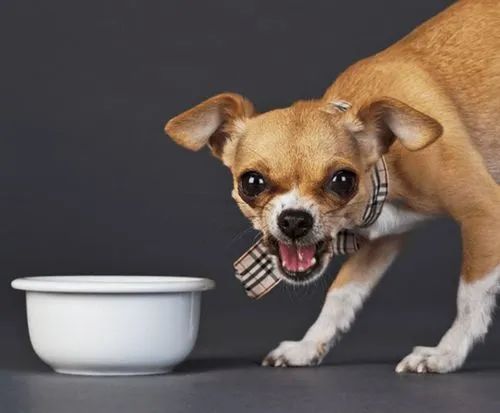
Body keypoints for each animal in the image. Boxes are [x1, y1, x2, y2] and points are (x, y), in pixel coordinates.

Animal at [165, 0, 500, 374]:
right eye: (251, 182)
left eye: (342, 180)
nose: (294, 220)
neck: (386, 166)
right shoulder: (382, 240)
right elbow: (342, 295)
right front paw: (308, 346)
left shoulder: (485, 214)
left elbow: (470, 296)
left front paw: (446, 354)